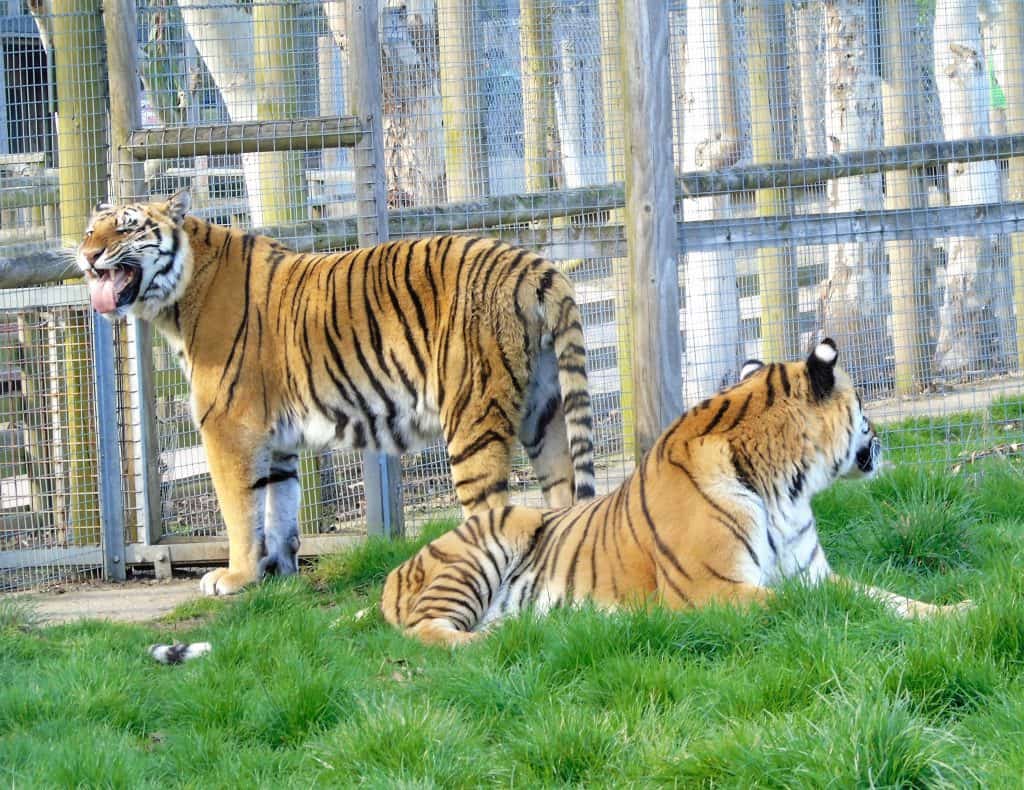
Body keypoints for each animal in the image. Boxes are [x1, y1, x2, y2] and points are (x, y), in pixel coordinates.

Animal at [75, 191, 598, 598]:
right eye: (89, 230)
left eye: (125, 229)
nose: (86, 255)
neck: (178, 297)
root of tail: (535, 264)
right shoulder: (276, 439)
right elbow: (279, 508)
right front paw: (279, 576)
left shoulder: (228, 427)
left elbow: (240, 510)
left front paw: (235, 577)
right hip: (544, 412)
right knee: (562, 498)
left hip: (474, 413)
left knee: (491, 510)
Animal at [382, 342, 966, 647]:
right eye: (864, 404)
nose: (880, 436)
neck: (788, 487)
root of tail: (392, 574)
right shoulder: (713, 592)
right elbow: (828, 605)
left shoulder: (812, 573)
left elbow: (886, 596)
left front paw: (958, 609)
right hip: (502, 532)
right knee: (424, 628)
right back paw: (498, 639)